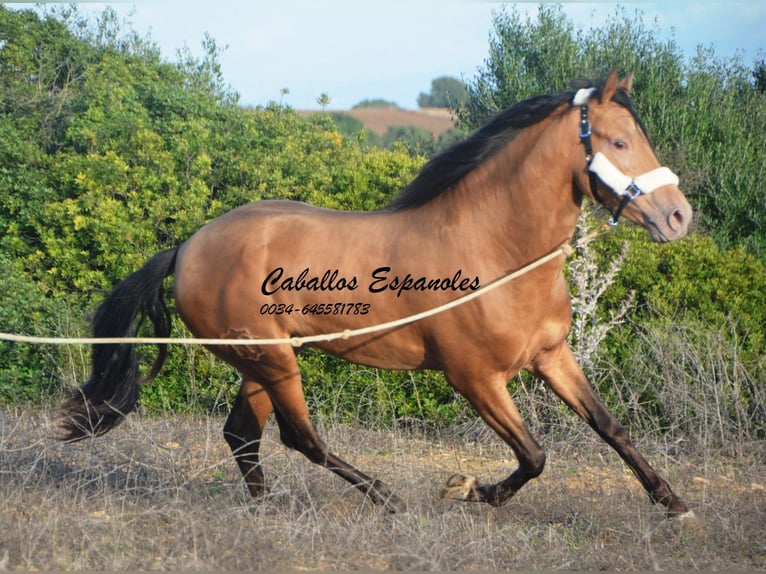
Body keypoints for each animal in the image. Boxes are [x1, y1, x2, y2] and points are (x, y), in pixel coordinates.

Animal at [60, 70, 696, 520]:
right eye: (619, 141)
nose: (678, 217)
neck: (495, 250)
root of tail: (188, 247)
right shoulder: (474, 378)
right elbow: (533, 455)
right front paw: (467, 489)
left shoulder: (551, 357)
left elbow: (610, 428)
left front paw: (672, 502)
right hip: (273, 360)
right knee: (300, 437)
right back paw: (385, 497)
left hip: (261, 361)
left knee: (243, 434)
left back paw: (267, 509)